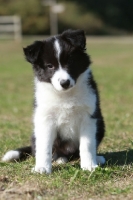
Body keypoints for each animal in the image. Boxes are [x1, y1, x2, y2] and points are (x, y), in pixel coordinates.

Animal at [2, 29, 105, 173]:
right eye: (50, 66)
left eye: (70, 61)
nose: (64, 83)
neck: (65, 95)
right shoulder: (46, 118)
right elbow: (44, 146)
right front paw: (42, 168)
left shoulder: (89, 117)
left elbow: (87, 144)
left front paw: (89, 165)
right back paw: (58, 159)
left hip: (101, 125)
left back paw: (97, 158)